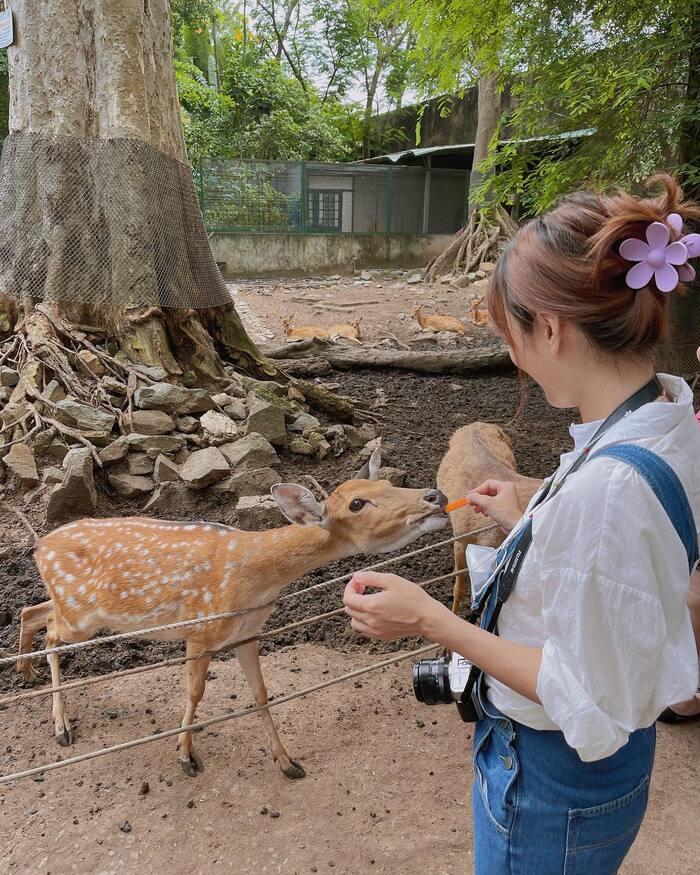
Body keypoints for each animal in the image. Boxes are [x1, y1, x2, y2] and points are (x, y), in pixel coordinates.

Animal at [13, 452, 448, 780]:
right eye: (357, 503)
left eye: (387, 485)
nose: (436, 495)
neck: (254, 579)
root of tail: (39, 546)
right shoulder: (200, 629)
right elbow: (195, 692)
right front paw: (186, 756)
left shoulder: (248, 633)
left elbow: (261, 693)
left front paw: (287, 762)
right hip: (80, 614)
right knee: (50, 629)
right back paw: (61, 726)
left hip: (74, 608)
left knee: (31, 610)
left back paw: (26, 673)